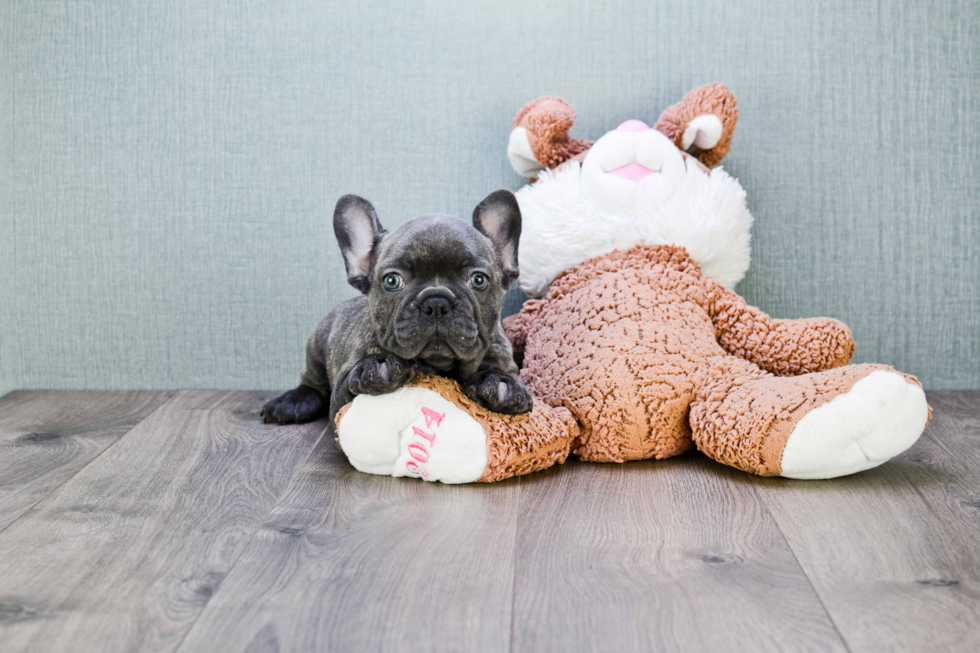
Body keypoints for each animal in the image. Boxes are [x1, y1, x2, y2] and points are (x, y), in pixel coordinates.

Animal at [260, 190, 532, 422]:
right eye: (392, 280)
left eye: (478, 280)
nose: (436, 302)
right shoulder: (340, 394)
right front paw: (376, 367)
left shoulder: (500, 350)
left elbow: (501, 371)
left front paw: (501, 384)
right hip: (317, 343)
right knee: (312, 382)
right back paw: (291, 402)